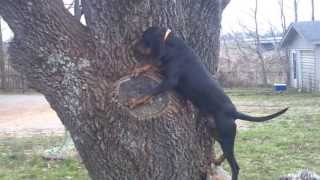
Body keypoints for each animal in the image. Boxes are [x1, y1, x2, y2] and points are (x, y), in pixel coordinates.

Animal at [127, 26, 288, 180]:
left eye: (144, 37)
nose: (132, 45)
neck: (171, 45)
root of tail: (234, 112)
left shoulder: (170, 80)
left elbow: (151, 90)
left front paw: (135, 101)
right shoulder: (164, 69)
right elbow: (152, 65)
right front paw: (138, 69)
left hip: (225, 133)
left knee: (235, 166)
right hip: (214, 130)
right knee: (226, 152)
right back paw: (216, 161)